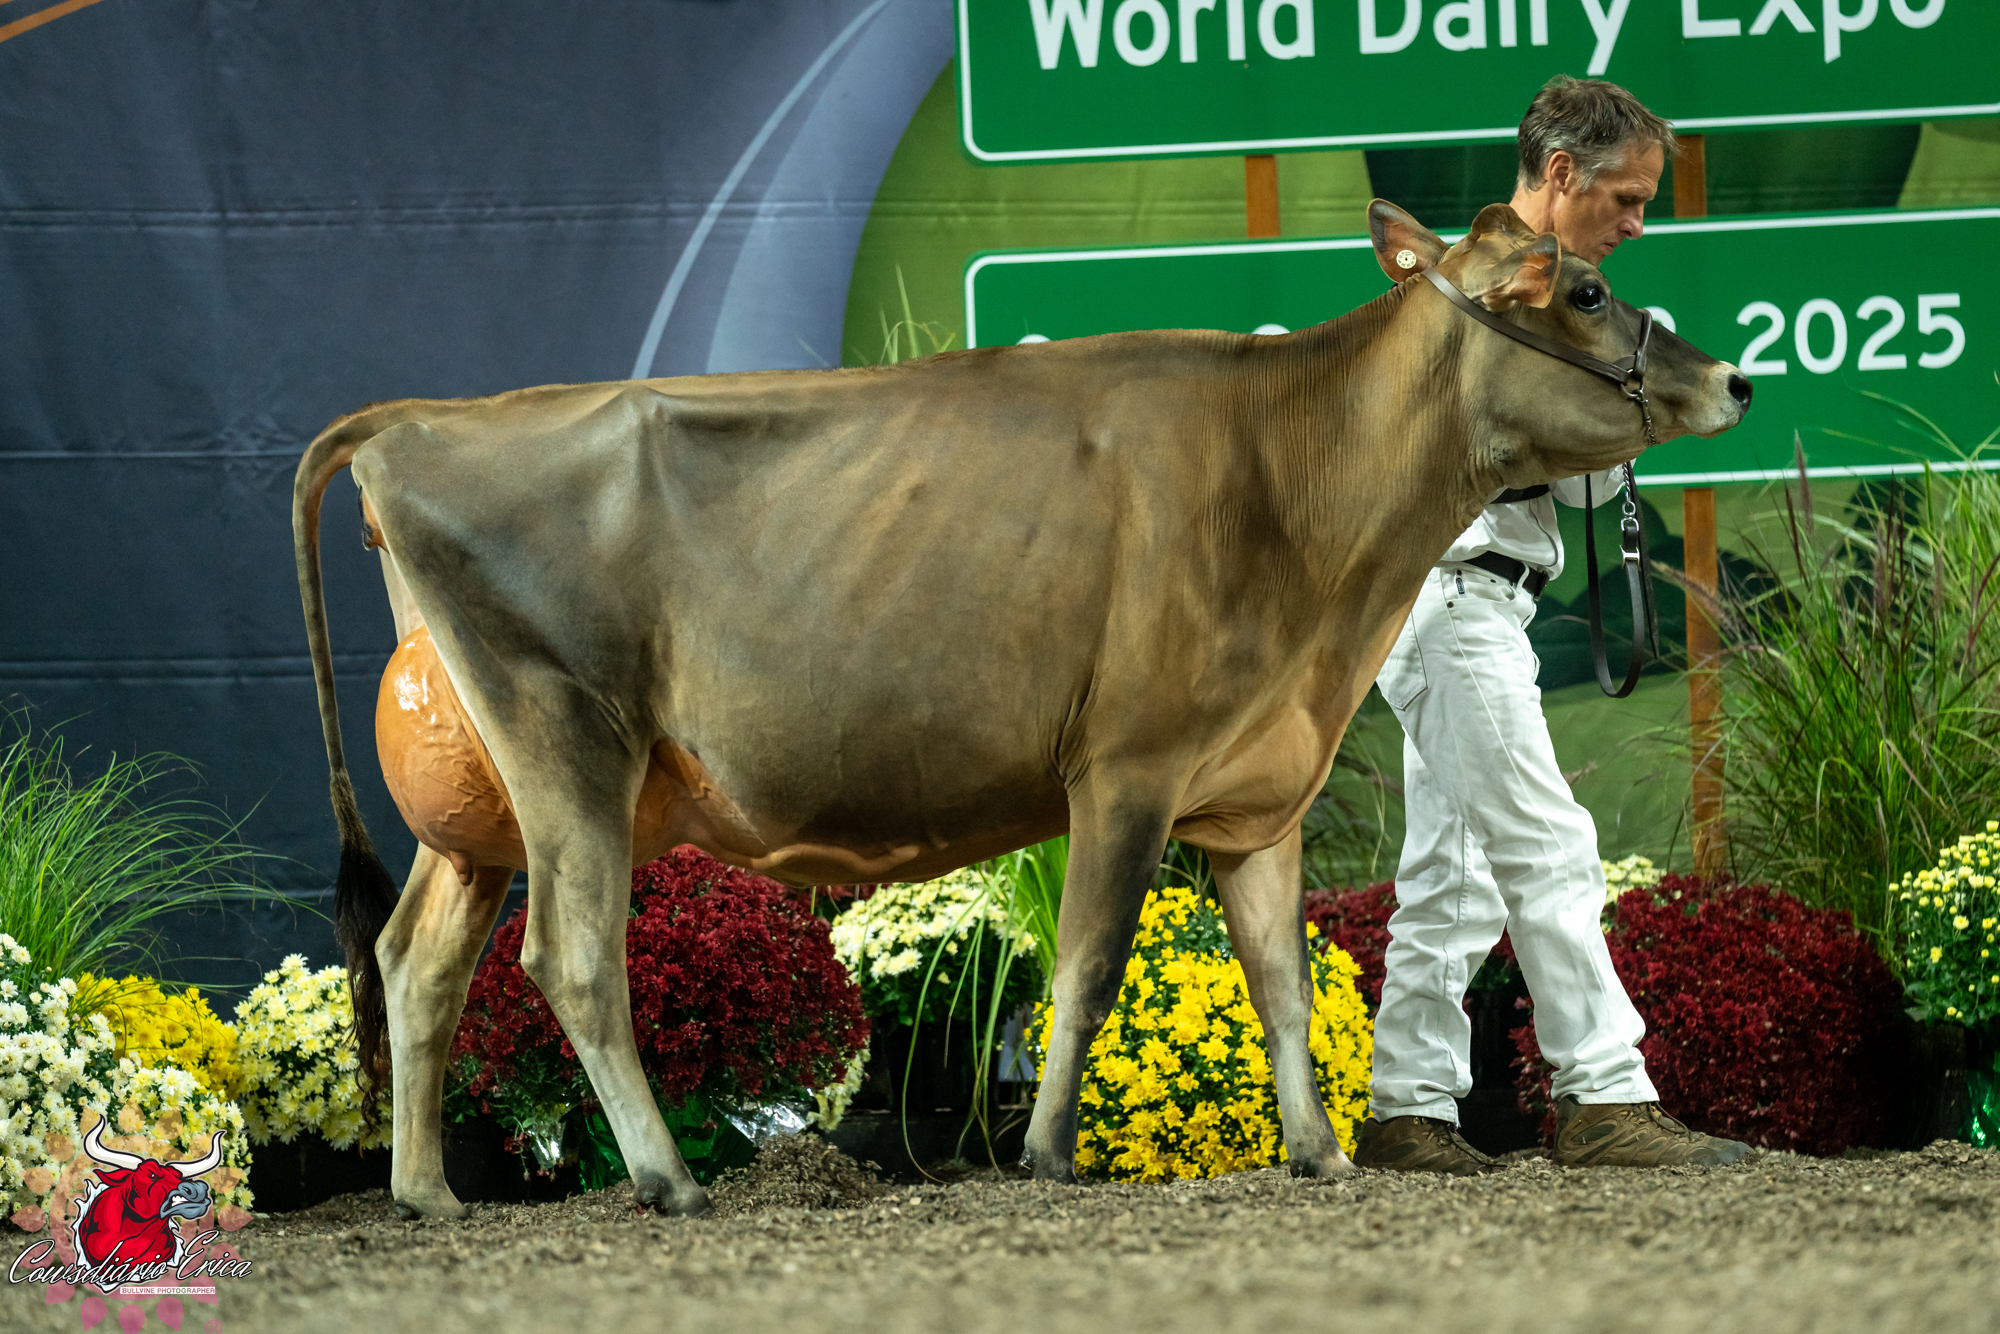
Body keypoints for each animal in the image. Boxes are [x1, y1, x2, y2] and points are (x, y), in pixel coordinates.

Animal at [293, 201, 1749, 1221]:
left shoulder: (1256, 781)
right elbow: (1092, 961)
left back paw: (427, 1190)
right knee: (574, 958)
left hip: (480, 802)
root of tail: (413, 423)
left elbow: (1282, 981)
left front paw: (1322, 1155)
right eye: (1587, 289)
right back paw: (665, 1177)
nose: (1733, 378)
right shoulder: (1127, 761)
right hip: (568, 738)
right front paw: (1048, 1152)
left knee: (418, 959)